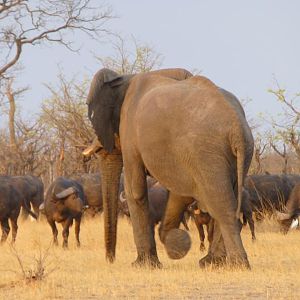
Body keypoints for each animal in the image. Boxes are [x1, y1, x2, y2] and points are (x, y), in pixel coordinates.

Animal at [86, 67, 253, 268]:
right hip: (237, 154)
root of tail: (236, 130)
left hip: (206, 152)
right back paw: (212, 262)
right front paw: (176, 245)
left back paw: (237, 264)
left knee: (222, 205)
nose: (110, 260)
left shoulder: (130, 132)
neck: (124, 78)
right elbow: (178, 192)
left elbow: (135, 190)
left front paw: (144, 264)